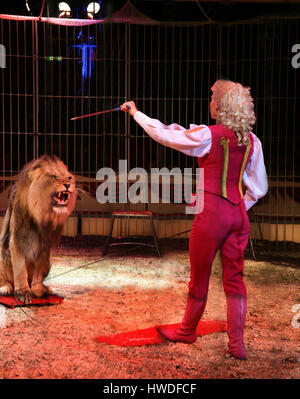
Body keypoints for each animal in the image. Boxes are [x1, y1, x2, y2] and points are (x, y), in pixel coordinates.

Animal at [0, 155, 76, 304]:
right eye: (53, 176)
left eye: (69, 177)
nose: (68, 184)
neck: (41, 214)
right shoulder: (17, 239)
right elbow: (20, 270)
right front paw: (23, 293)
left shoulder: (47, 245)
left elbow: (39, 271)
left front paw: (38, 290)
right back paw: (5, 288)